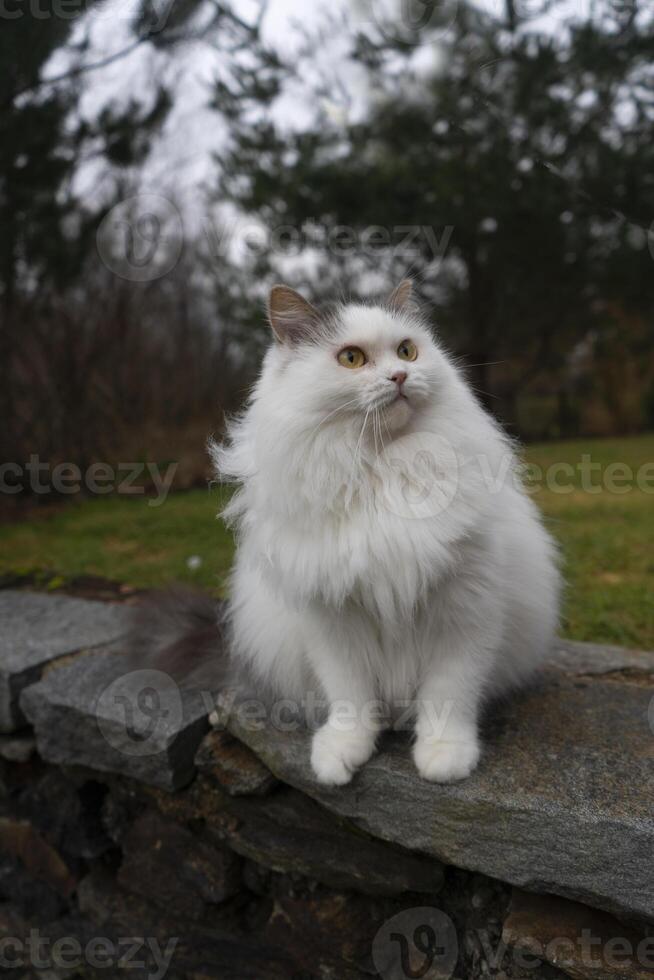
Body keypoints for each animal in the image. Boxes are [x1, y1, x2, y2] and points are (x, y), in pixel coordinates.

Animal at [211, 280, 564, 784]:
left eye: (407, 350)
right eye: (352, 358)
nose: (399, 376)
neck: (384, 467)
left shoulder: (466, 608)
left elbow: (449, 693)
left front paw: (444, 756)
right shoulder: (332, 620)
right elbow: (350, 698)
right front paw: (340, 755)